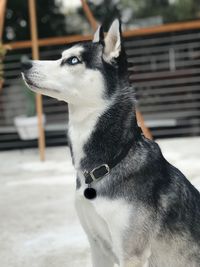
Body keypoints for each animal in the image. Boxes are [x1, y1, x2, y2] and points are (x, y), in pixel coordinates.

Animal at [21, 19, 200, 266]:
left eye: (73, 60)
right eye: (61, 56)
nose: (25, 64)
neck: (111, 160)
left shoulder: (131, 253)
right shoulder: (98, 247)